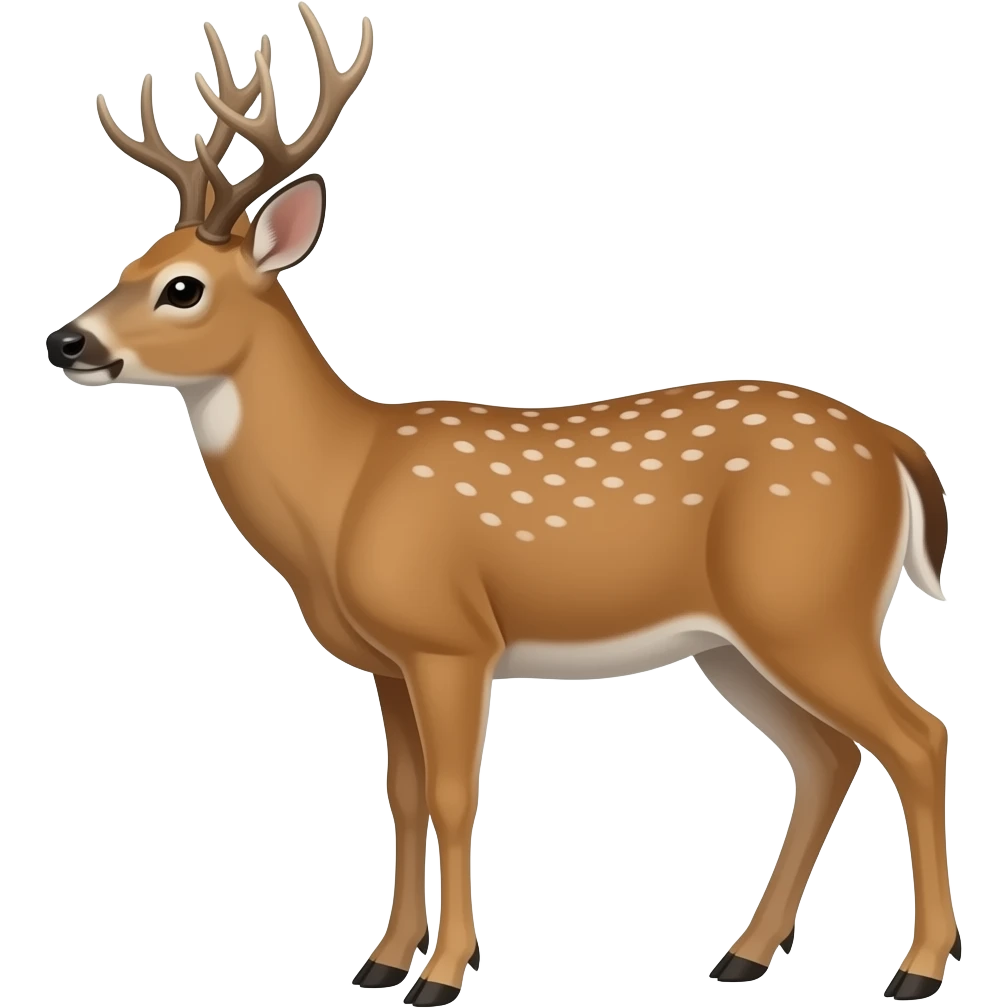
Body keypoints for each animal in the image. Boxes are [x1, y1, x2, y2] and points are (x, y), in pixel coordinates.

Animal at [42, 5, 958, 1005]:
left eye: (183, 287)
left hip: (808, 604)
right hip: (739, 640)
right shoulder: (388, 660)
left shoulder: (452, 638)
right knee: (828, 756)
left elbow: (453, 798)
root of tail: (898, 448)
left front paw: (441, 975)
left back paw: (915, 970)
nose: (67, 342)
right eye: (132, 262)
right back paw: (744, 954)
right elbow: (402, 798)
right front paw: (381, 961)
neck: (343, 489)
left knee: (918, 737)